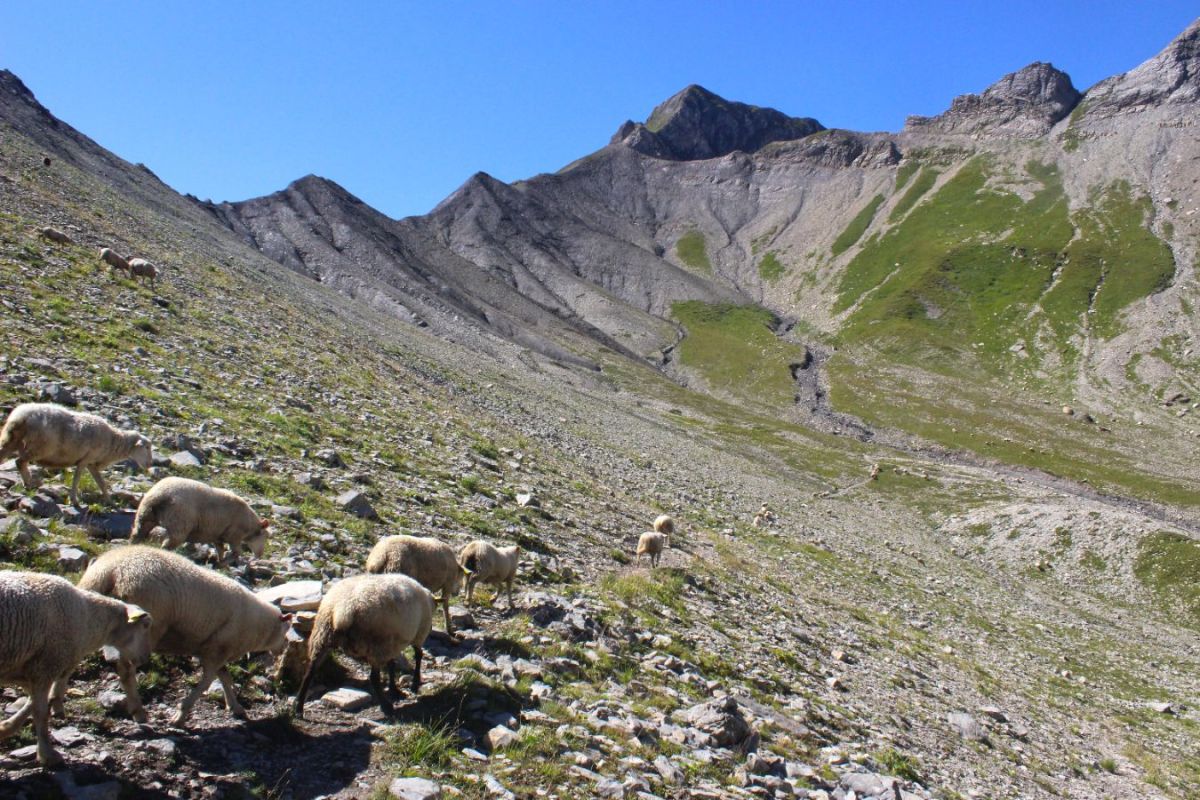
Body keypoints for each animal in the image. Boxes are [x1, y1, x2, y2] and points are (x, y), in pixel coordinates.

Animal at [0, 402, 154, 510]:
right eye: (146, 447)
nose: (149, 464)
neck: (113, 441)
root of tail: (20, 416)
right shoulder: (85, 461)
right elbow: (77, 479)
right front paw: (74, 500)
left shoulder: (91, 463)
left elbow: (101, 483)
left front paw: (110, 502)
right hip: (38, 447)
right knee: (19, 462)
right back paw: (28, 485)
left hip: (11, 440)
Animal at [0, 573, 152, 767]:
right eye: (145, 626)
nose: (145, 659)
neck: (88, 621)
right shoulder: (46, 665)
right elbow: (40, 712)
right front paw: (48, 754)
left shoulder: (31, 670)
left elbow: (34, 704)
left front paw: (5, 728)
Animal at [73, 546, 296, 729]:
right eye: (286, 633)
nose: (281, 651)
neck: (257, 626)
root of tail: (110, 571)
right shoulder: (217, 650)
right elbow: (207, 682)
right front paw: (180, 716)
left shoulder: (213, 650)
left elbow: (225, 677)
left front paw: (235, 707)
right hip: (142, 632)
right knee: (127, 671)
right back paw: (139, 713)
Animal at [132, 479, 271, 566]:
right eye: (265, 537)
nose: (260, 554)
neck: (249, 524)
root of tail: (159, 495)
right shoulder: (234, 534)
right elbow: (236, 552)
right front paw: (223, 563)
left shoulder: (218, 534)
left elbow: (220, 548)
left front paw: (220, 562)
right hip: (180, 519)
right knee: (170, 542)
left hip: (145, 512)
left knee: (138, 531)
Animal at [294, 575, 434, 719]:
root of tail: (343, 610)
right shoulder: (415, 635)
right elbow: (417, 656)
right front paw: (414, 684)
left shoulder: (391, 644)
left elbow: (392, 664)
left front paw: (394, 689)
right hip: (375, 644)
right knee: (374, 678)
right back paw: (386, 707)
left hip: (322, 635)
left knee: (310, 672)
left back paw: (298, 708)